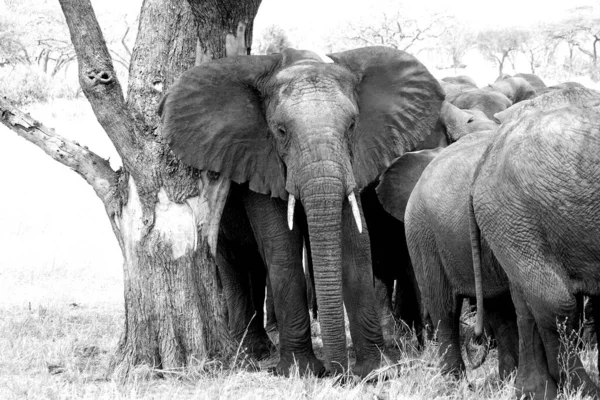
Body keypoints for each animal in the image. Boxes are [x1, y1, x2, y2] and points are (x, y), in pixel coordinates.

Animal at [159, 45, 446, 376]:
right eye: (281, 131)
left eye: (352, 125)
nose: (338, 373)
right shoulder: (261, 160)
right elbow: (282, 247)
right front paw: (301, 370)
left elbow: (356, 244)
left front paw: (377, 369)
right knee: (233, 263)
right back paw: (253, 352)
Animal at [472, 87, 600, 400]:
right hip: (513, 213)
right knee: (556, 302)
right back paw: (583, 390)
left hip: (512, 221)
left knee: (526, 304)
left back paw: (534, 391)